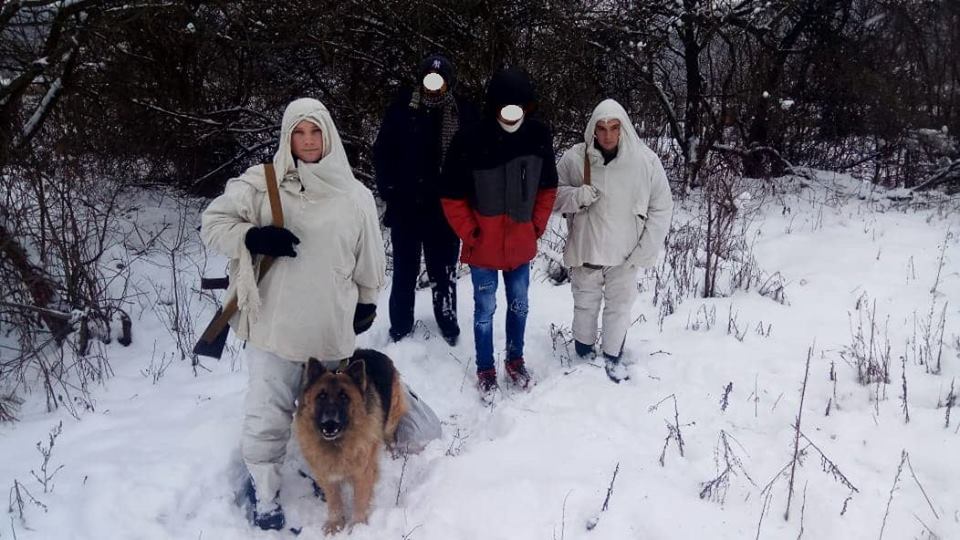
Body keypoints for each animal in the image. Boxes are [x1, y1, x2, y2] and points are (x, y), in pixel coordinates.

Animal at [296, 348, 408, 532]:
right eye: (321, 396)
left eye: (344, 396)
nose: (329, 423)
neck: (337, 443)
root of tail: (372, 351)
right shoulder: (326, 475)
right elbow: (334, 501)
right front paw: (335, 525)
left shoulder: (363, 473)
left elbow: (360, 500)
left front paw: (357, 526)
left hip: (392, 415)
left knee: (389, 435)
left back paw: (391, 452)